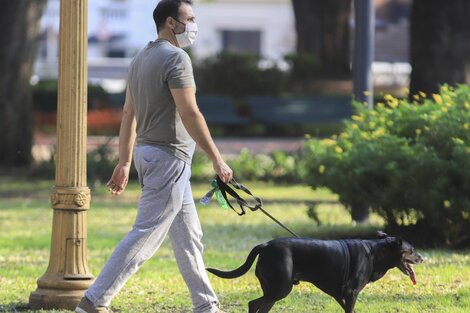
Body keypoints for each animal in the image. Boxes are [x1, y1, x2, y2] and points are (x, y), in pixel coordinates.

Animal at [207, 232, 424, 312]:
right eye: (412, 250)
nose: (422, 258)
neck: (375, 252)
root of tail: (265, 245)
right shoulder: (351, 293)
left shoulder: (340, 294)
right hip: (281, 288)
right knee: (253, 304)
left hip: (272, 290)